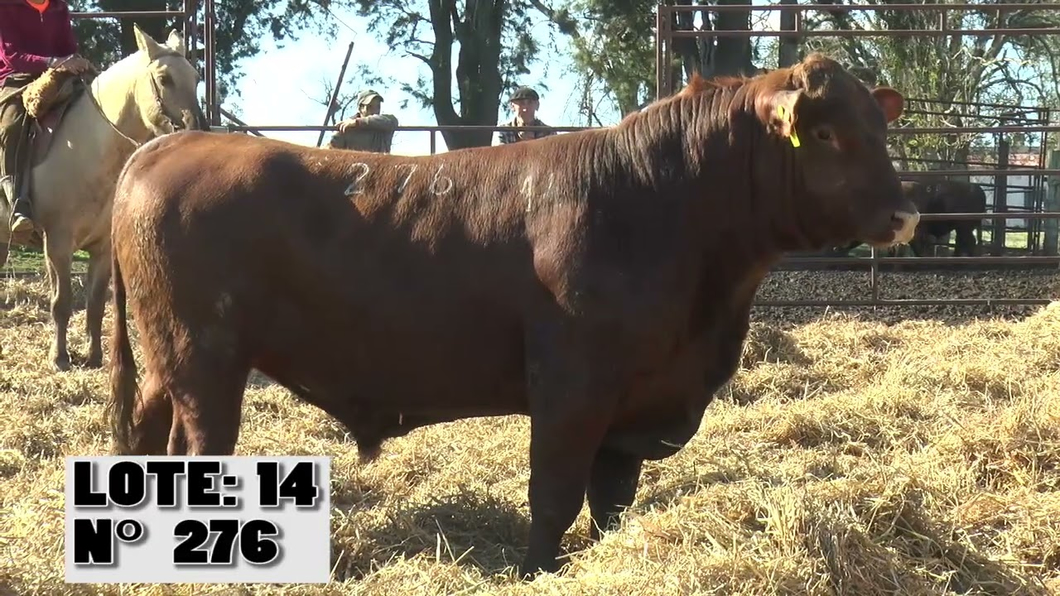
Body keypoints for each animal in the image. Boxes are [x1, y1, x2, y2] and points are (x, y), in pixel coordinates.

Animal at [0, 25, 204, 369]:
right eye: (164, 78)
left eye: (197, 77)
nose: (195, 128)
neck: (88, 147)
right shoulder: (58, 242)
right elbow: (62, 302)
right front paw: (60, 358)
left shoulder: (103, 248)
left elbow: (95, 304)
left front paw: (94, 356)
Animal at [109, 54, 920, 576]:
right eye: (825, 133)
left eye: (879, 131)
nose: (905, 213)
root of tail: (171, 143)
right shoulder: (572, 386)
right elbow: (554, 494)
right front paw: (534, 571)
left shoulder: (636, 402)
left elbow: (611, 501)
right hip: (204, 361)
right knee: (195, 447)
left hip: (164, 359)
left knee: (143, 435)